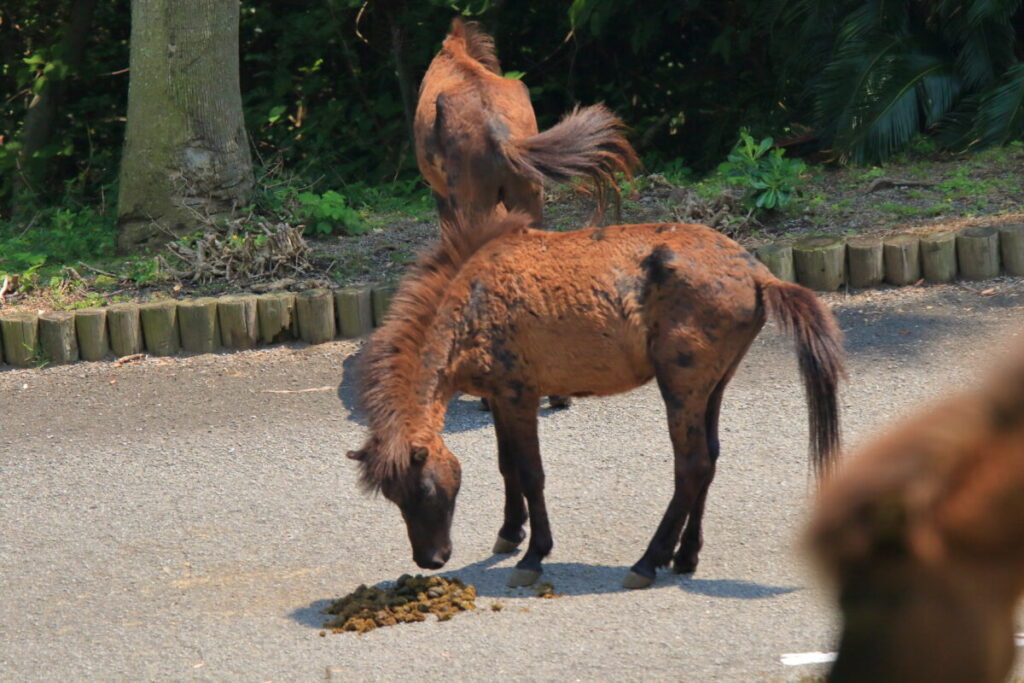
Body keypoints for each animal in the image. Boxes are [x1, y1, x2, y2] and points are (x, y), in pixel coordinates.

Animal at [347, 212, 844, 589]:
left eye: (426, 489)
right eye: (392, 496)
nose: (430, 559)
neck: (473, 295)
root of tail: (758, 273)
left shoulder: (518, 397)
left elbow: (531, 474)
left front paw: (534, 555)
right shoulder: (501, 398)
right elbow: (508, 468)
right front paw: (510, 532)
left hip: (681, 386)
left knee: (693, 466)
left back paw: (648, 561)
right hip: (714, 385)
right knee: (710, 460)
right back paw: (685, 556)